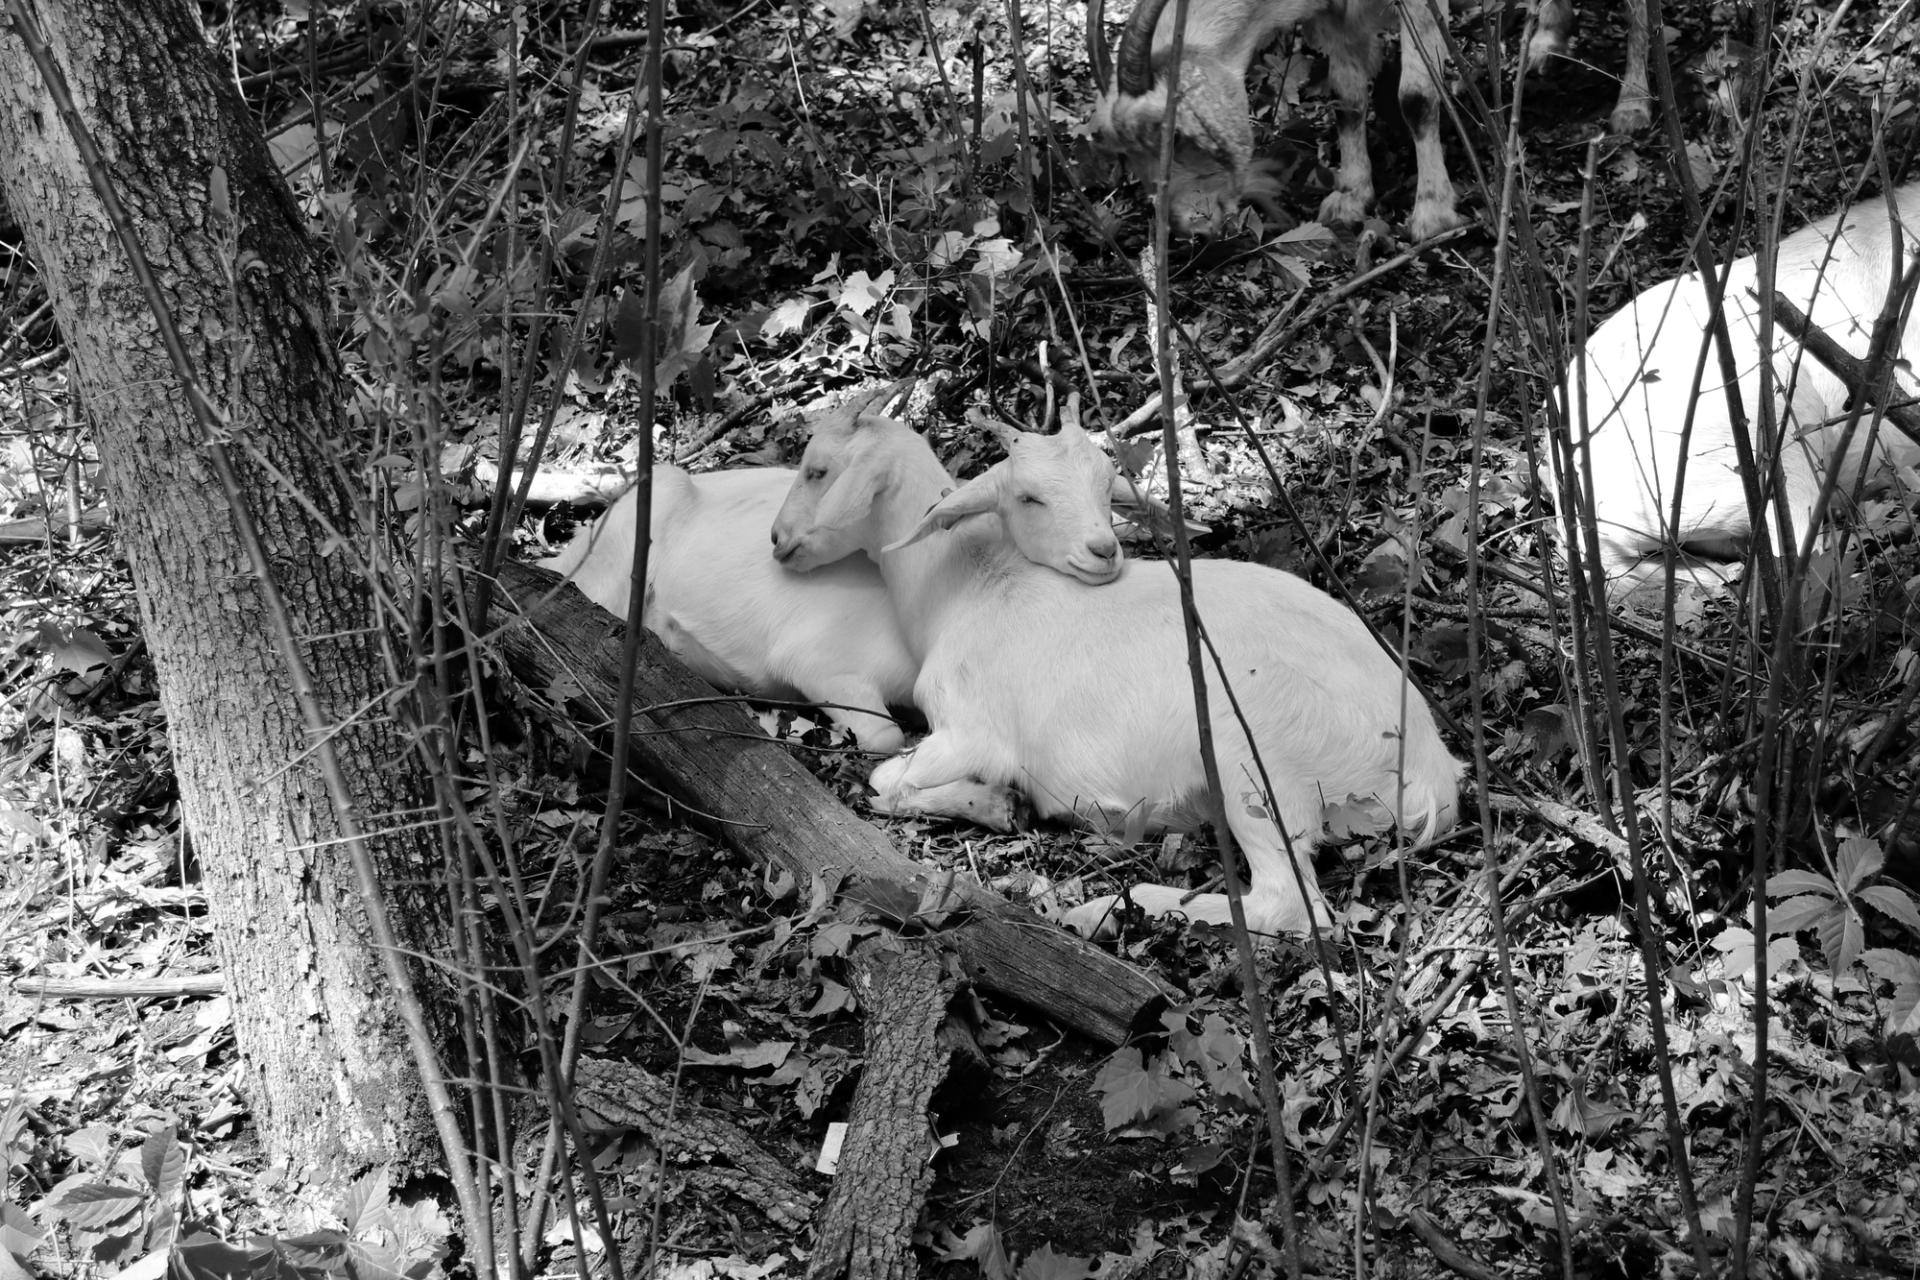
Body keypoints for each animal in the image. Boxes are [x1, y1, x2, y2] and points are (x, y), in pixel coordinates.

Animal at [770, 412, 1462, 936]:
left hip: (1254, 752)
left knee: (1290, 903)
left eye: (816, 468)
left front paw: (997, 802)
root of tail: (1432, 773)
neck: (970, 588)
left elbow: (882, 781)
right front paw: (999, 804)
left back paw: (1111, 907)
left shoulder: (972, 729)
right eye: (1030, 495)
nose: (779, 540)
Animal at [1086, 0, 1465, 239]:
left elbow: (1415, 98)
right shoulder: (1336, 13)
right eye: (1126, 154)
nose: (1187, 227)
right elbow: (1346, 97)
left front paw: (1433, 214)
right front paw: (1350, 197)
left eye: (1176, 136)